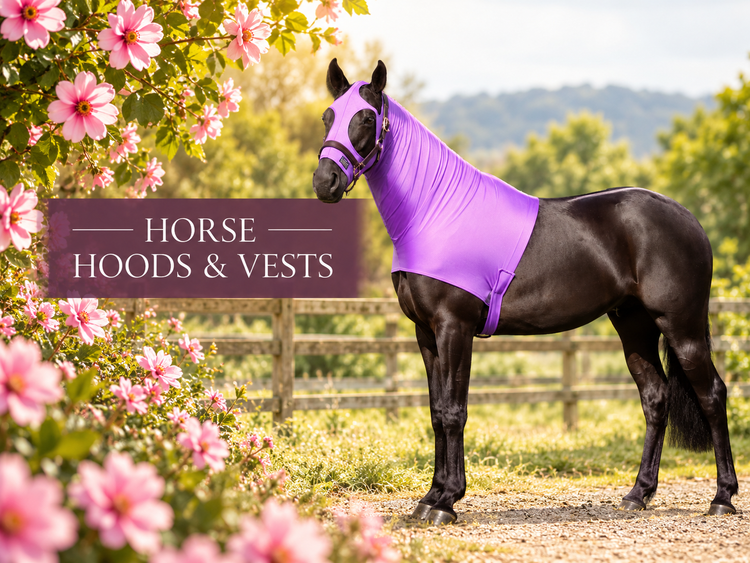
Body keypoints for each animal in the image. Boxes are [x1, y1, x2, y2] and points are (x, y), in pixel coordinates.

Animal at [312, 58, 738, 526]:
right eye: (328, 117)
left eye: (366, 119)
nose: (325, 182)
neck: (435, 211)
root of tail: (690, 220)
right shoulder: (426, 334)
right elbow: (436, 411)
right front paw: (431, 497)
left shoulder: (454, 328)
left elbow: (454, 411)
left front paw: (446, 502)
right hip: (634, 326)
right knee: (656, 398)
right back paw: (637, 494)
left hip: (682, 327)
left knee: (712, 394)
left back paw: (722, 497)